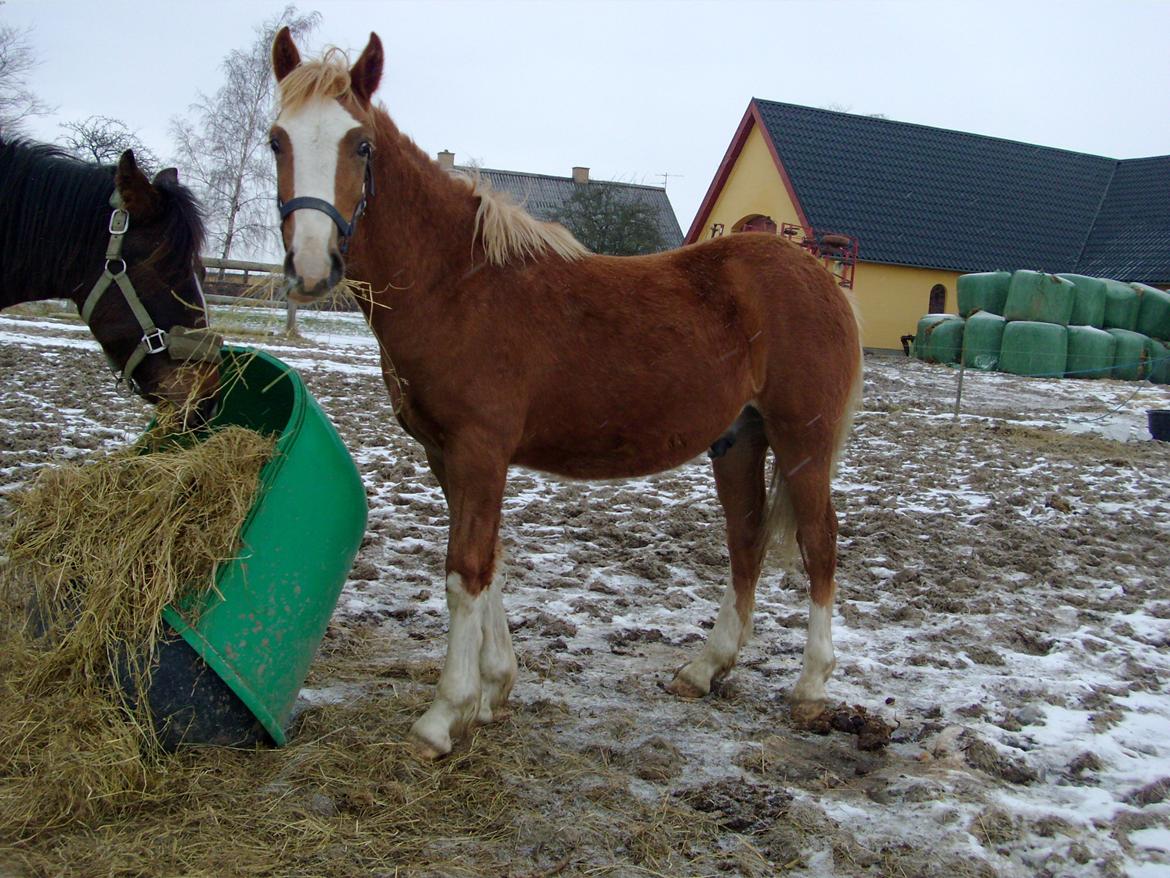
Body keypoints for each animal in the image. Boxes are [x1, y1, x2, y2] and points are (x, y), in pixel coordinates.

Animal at [269, 27, 865, 758]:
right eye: (277, 141)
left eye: (360, 146)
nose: (311, 265)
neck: (457, 284)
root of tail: (816, 272)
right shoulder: (445, 455)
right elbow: (490, 562)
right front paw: (493, 691)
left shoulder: (479, 450)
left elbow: (465, 569)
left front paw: (444, 716)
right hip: (739, 440)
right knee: (747, 540)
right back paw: (703, 669)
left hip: (803, 439)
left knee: (819, 543)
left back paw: (810, 690)